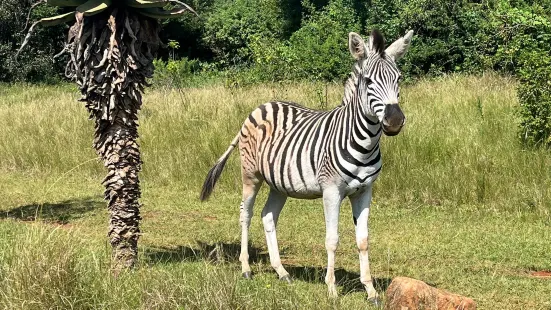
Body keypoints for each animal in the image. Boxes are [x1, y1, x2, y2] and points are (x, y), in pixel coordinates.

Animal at [202, 29, 414, 306]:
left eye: (399, 79)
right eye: (368, 81)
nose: (395, 120)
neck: (364, 142)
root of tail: (261, 106)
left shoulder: (365, 191)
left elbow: (363, 240)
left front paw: (371, 291)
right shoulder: (331, 191)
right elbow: (332, 240)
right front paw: (332, 289)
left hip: (279, 183)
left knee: (268, 216)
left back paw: (281, 271)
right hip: (251, 175)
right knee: (245, 214)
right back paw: (246, 268)